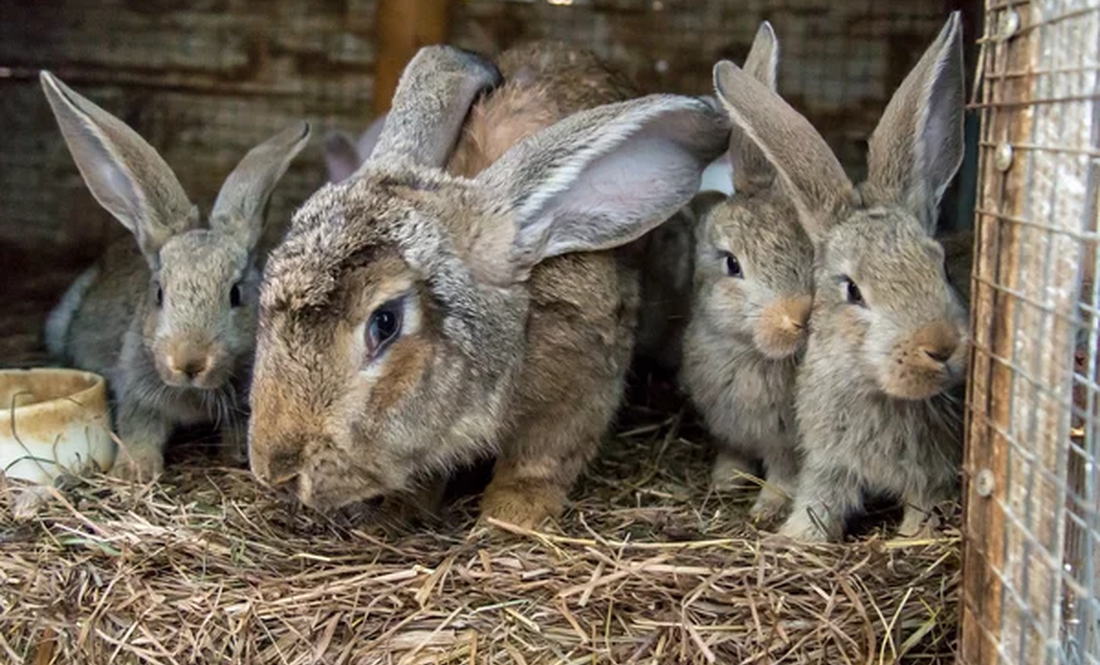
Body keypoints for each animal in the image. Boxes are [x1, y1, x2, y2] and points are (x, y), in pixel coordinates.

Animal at [39, 70, 310, 479]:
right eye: (159, 294)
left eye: (235, 294)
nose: (189, 362)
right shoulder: (136, 392)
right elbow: (140, 428)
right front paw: (134, 471)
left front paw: (236, 457)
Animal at [247, 42, 730, 529]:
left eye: (385, 323)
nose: (275, 469)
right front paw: (405, 510)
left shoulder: (580, 388)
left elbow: (538, 463)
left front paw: (510, 517)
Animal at [677, 20, 818, 521]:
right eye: (732, 264)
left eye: (806, 245)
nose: (799, 315)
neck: (749, 353)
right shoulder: (727, 426)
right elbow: (734, 453)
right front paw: (725, 481)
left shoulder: (789, 444)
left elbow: (784, 472)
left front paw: (767, 507)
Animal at [708, 11, 968, 538]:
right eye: (853, 291)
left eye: (941, 266)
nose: (941, 345)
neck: (871, 385)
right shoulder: (827, 466)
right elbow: (817, 504)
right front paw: (795, 538)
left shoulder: (931, 477)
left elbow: (922, 512)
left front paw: (908, 539)